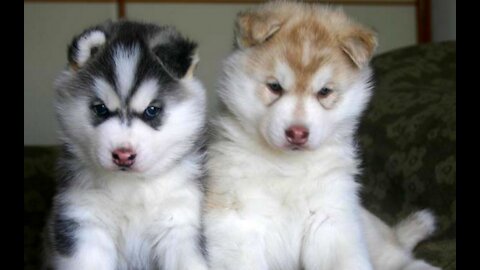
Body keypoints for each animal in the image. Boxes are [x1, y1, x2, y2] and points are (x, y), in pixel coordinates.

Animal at [44, 21, 208, 270]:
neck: (131, 189)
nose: (123, 155)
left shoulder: (179, 222)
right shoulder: (82, 221)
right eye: (101, 109)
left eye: (152, 110)